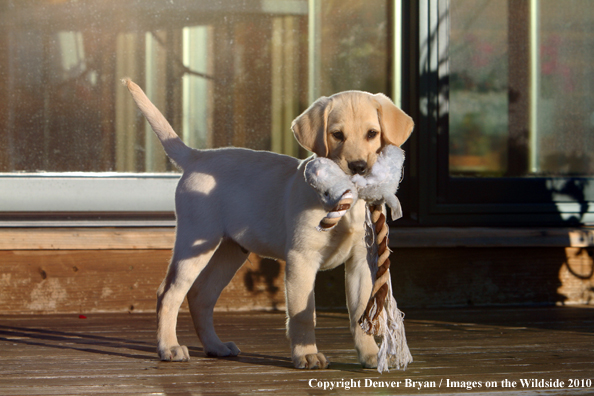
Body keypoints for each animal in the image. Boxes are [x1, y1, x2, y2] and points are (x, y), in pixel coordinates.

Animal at [122, 79, 412, 370]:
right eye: (337, 135)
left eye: (372, 133)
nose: (358, 167)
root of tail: (197, 157)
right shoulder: (301, 259)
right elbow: (303, 313)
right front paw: (307, 354)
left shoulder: (360, 263)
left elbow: (360, 312)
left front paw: (371, 355)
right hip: (195, 241)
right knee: (168, 293)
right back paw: (169, 347)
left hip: (230, 251)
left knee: (200, 296)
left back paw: (215, 346)